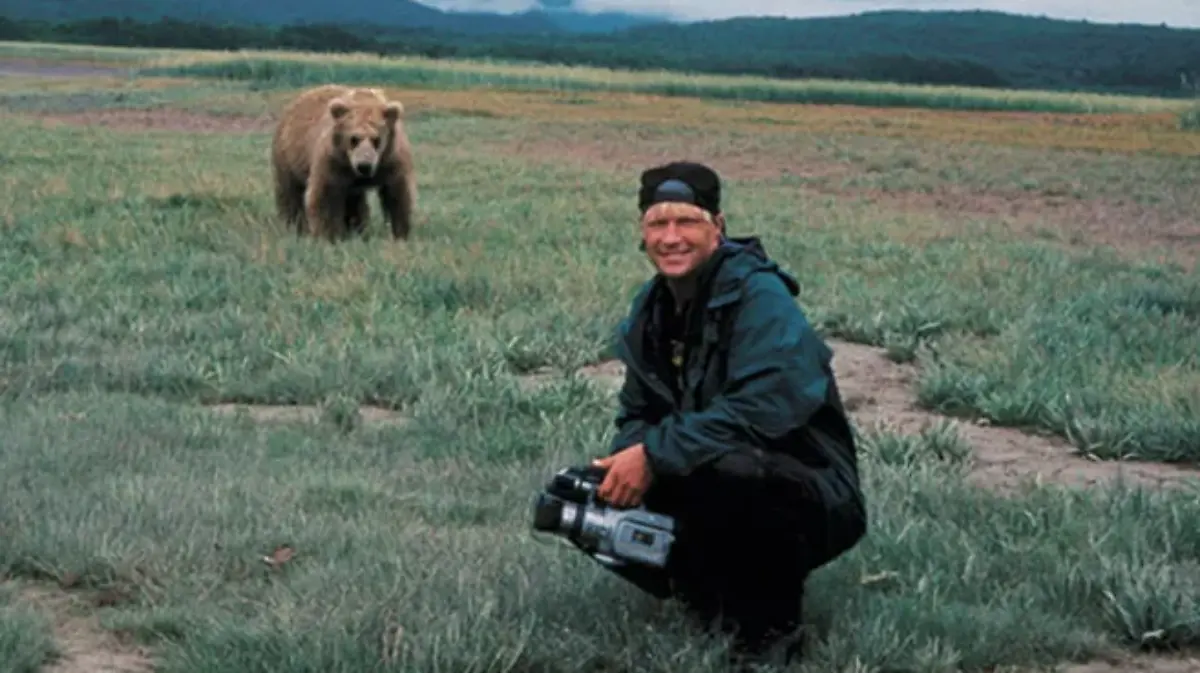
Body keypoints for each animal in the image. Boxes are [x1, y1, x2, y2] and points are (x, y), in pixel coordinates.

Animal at [270, 84, 416, 241]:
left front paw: (400, 234)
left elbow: (397, 195)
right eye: (354, 139)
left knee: (354, 203)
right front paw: (328, 235)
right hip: (289, 158)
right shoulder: (334, 161)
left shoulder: (391, 160)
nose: (364, 166)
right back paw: (294, 225)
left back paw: (357, 229)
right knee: (290, 193)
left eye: (376, 139)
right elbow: (325, 197)